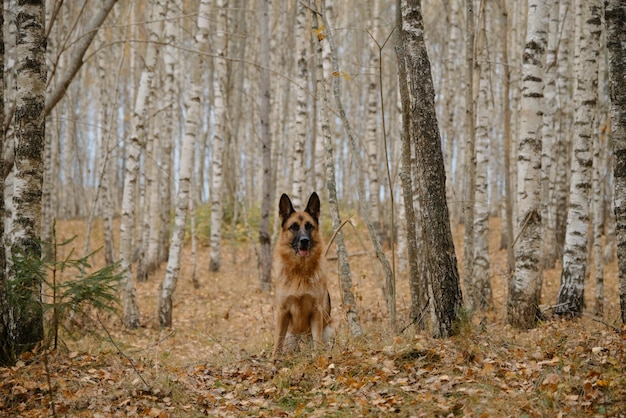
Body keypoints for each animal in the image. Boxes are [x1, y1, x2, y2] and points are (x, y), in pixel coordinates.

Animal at [272, 193, 332, 360]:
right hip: (291, 337)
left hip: (328, 331)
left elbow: (317, 341)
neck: (299, 271)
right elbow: (277, 341)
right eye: (294, 227)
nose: (304, 241)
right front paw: (273, 360)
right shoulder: (282, 312)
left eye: (309, 226)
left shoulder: (316, 311)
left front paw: (318, 359)